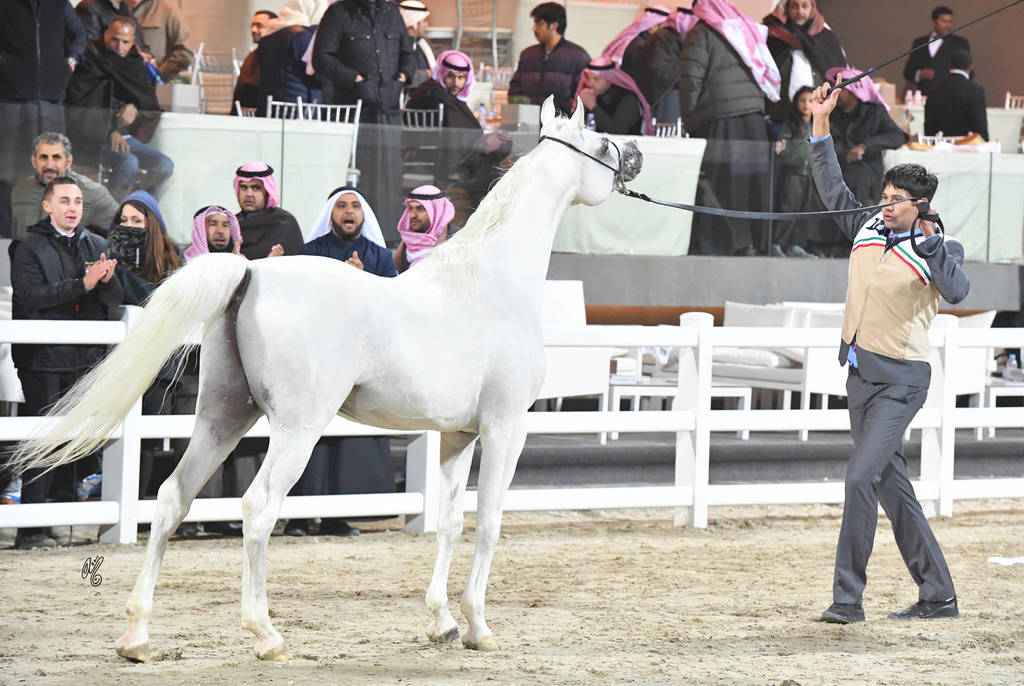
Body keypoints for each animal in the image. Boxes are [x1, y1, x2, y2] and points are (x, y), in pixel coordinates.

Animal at [9, 95, 642, 662]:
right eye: (597, 142)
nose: (634, 155)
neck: (490, 280)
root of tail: (251, 273)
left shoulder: (457, 435)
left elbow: (449, 523)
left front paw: (441, 623)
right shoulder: (506, 427)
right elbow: (488, 524)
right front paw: (479, 627)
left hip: (221, 418)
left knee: (171, 500)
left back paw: (137, 637)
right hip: (297, 430)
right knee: (258, 507)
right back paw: (266, 635)